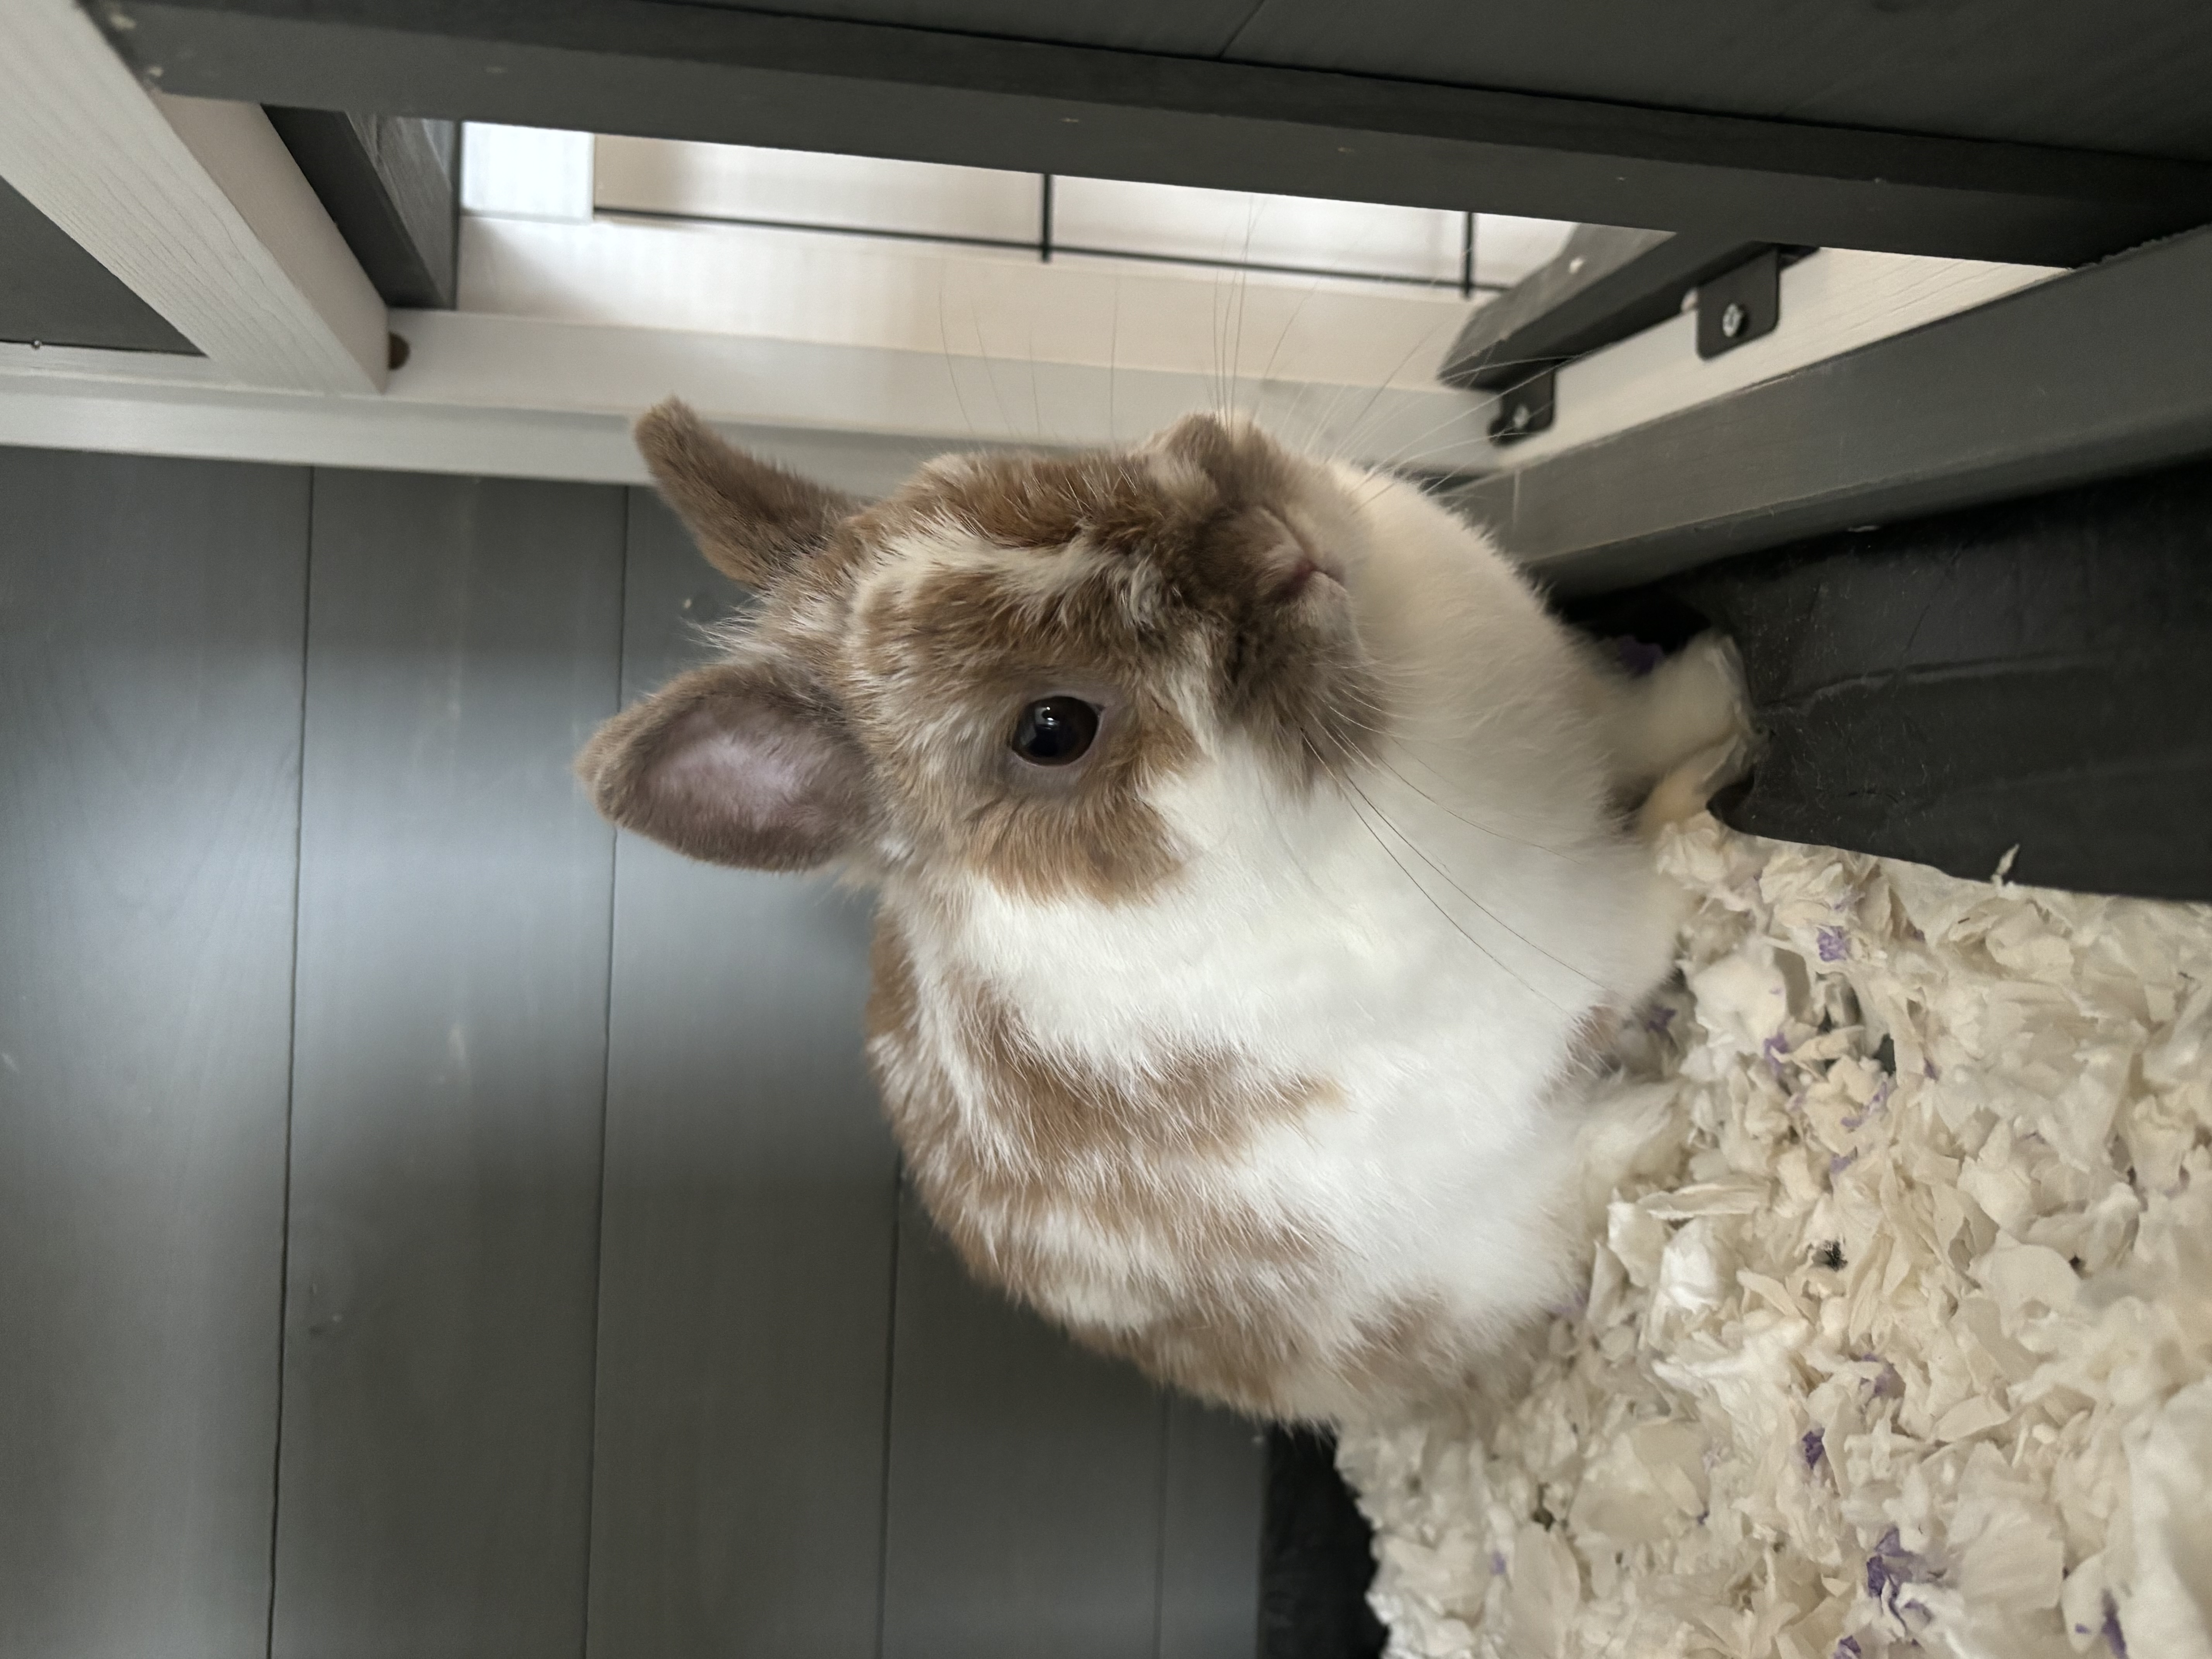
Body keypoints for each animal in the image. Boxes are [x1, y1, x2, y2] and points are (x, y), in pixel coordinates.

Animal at [578, 399, 1749, 1425]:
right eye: (1052, 730)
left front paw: (1717, 686)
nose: (1268, 541)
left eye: (1036, 476)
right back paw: (1660, 1111)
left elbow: (1643, 716)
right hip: (1472, 1244)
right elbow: (1651, 901)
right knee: (1571, 1199)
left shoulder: (1587, 714)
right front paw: (1707, 815)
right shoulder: (1575, 944)